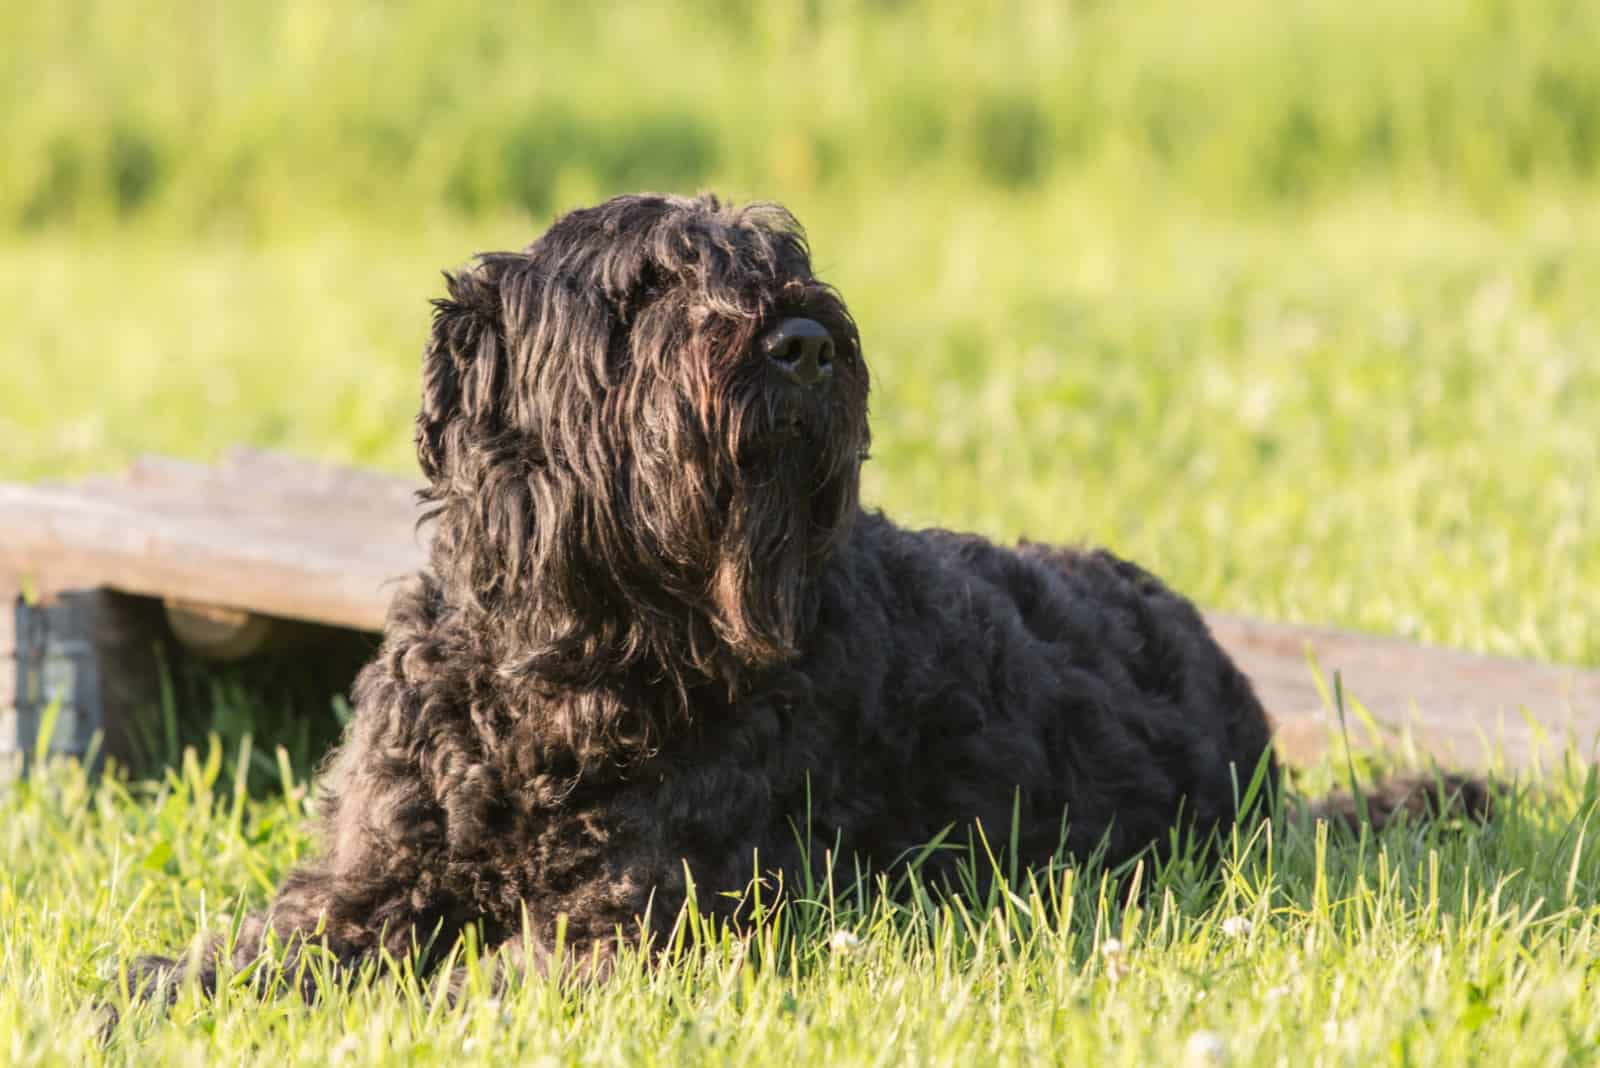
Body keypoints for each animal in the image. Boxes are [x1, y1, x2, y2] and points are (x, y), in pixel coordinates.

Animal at [128, 191, 1484, 1004]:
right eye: (641, 290)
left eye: (783, 262)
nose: (801, 343)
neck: (575, 661)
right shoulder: (361, 883)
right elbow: (257, 949)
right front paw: (149, 990)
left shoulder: (643, 909)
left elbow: (496, 979)